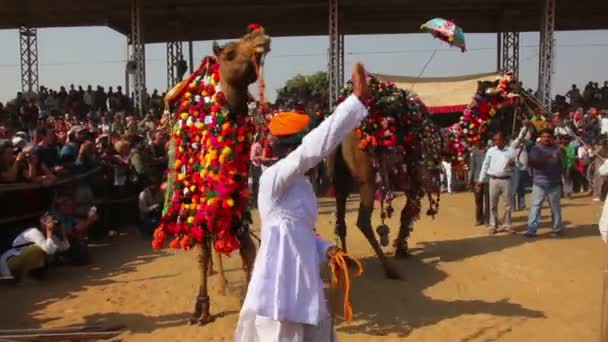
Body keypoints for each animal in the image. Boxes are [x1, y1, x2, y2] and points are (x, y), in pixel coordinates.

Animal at [152, 24, 270, 324]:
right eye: (229, 53)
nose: (259, 35)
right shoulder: (197, 205)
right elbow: (202, 252)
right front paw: (201, 308)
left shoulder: (237, 204)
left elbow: (246, 247)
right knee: (208, 246)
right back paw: (218, 282)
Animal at [326, 73, 516, 280]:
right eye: (499, 85)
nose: (516, 82)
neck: (443, 139)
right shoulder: (417, 180)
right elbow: (407, 214)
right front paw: (401, 250)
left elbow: (406, 215)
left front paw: (401, 248)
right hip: (367, 177)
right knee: (362, 221)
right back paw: (390, 270)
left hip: (339, 175)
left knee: (341, 218)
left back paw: (346, 262)